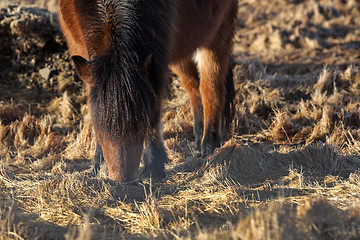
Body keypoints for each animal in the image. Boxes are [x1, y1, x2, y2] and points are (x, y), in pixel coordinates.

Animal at [58, 0, 239, 182]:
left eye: (139, 126)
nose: (124, 180)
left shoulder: (157, 61)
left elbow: (154, 114)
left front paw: (153, 167)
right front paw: (98, 165)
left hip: (218, 32)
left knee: (210, 88)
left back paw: (209, 145)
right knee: (194, 86)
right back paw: (198, 142)